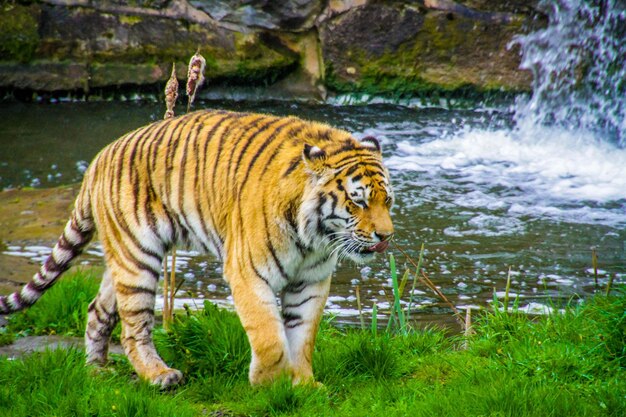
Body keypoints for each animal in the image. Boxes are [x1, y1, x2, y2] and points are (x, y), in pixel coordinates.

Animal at [0, 108, 390, 386]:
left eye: (387, 201)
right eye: (358, 201)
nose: (386, 236)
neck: (315, 237)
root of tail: (98, 159)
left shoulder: (310, 281)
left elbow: (302, 336)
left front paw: (305, 386)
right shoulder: (248, 273)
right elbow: (269, 335)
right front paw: (271, 384)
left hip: (123, 259)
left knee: (98, 309)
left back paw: (97, 371)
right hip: (138, 257)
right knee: (133, 327)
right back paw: (159, 376)